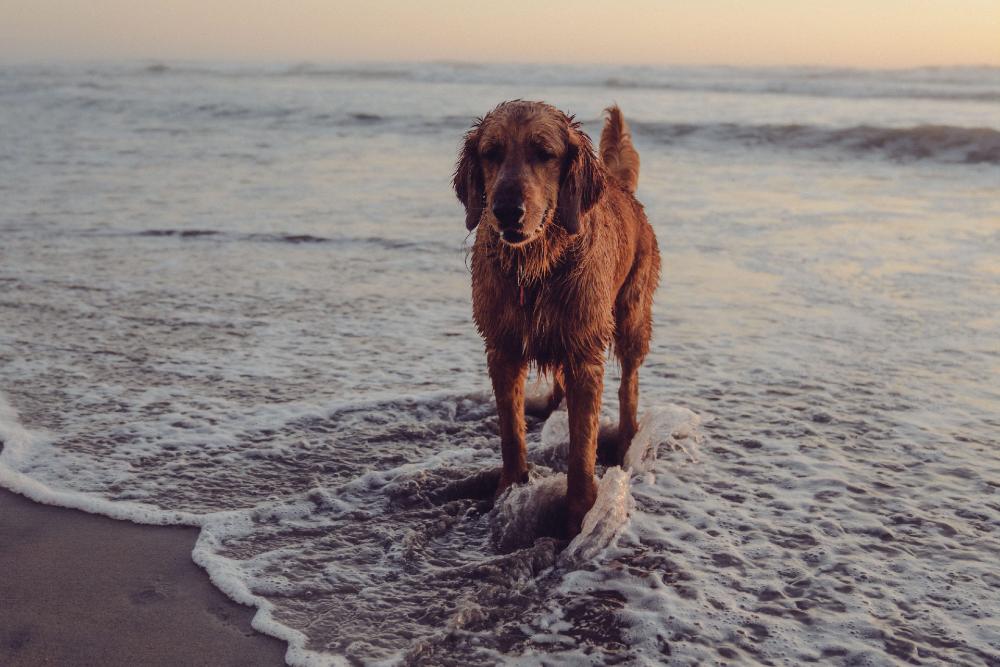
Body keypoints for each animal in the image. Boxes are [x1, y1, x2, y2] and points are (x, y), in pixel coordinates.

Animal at [456, 100, 660, 536]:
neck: (536, 269)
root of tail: (623, 189)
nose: (506, 211)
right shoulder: (502, 349)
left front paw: (579, 514)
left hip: (632, 315)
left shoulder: (585, 354)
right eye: (491, 153)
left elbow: (582, 448)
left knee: (629, 382)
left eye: (544, 154)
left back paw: (627, 438)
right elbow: (510, 431)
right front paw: (509, 490)